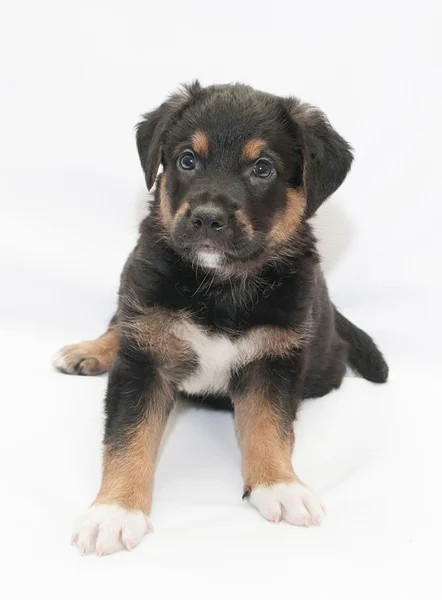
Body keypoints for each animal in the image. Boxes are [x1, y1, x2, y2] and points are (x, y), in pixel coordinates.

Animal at [54, 82, 386, 556]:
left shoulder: (274, 359)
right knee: (118, 320)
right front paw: (114, 512)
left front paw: (280, 485)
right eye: (187, 160)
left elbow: (269, 427)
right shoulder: (145, 356)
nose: (207, 218)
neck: (220, 288)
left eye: (262, 169)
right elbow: (126, 438)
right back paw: (90, 351)